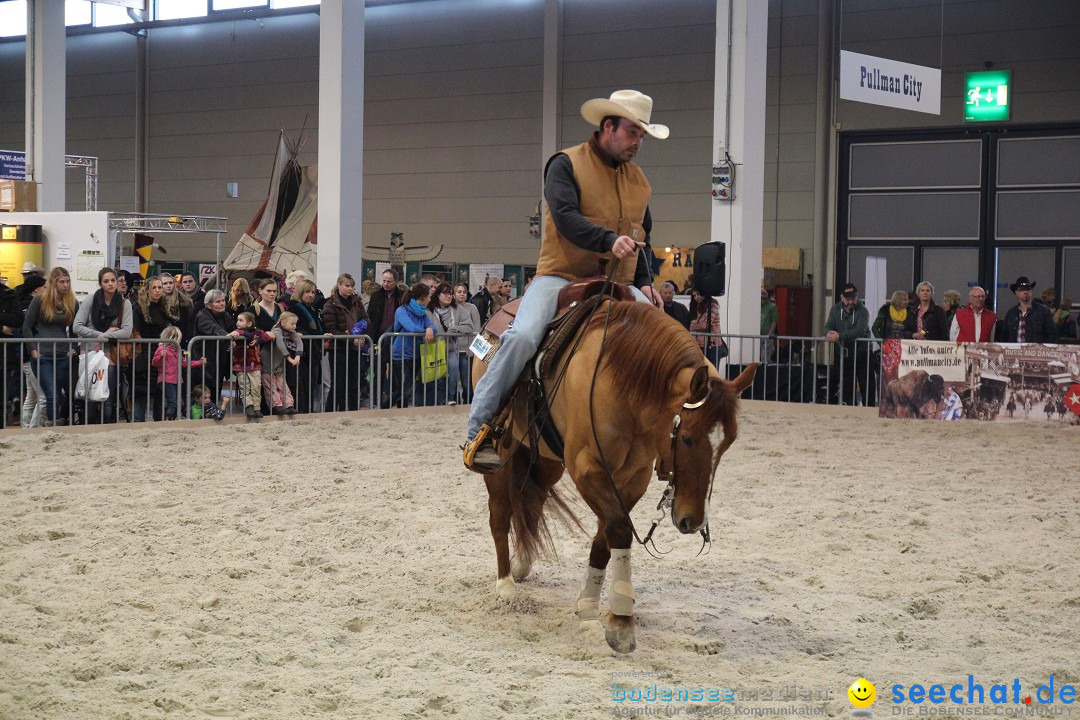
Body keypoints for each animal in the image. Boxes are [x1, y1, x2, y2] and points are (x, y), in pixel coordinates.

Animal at [477, 297, 756, 651]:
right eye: (687, 438)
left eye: (728, 442)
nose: (693, 521)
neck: (626, 384)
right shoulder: (587, 469)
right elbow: (620, 529)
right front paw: (621, 621)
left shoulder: (632, 478)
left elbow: (604, 539)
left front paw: (587, 606)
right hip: (502, 455)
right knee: (500, 515)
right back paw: (505, 586)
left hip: (547, 459)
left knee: (534, 501)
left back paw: (522, 562)